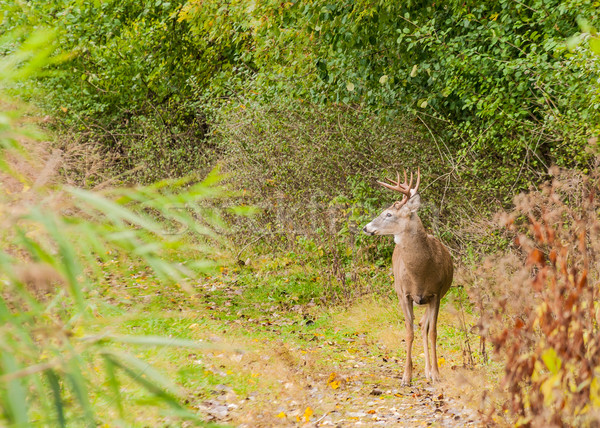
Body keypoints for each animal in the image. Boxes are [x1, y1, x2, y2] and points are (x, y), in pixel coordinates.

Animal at [364, 169, 452, 386]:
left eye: (388, 214)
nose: (366, 227)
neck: (420, 273)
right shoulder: (404, 294)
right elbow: (408, 332)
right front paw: (406, 377)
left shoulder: (436, 294)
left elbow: (433, 332)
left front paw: (436, 374)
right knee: (418, 325)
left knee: (424, 326)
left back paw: (429, 372)